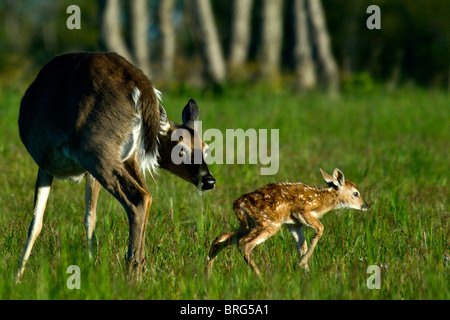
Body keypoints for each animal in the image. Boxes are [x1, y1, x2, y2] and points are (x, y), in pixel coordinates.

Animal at [15, 52, 216, 282]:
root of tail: (141, 87)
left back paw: (131, 275)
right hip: (123, 157)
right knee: (147, 196)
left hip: (96, 151)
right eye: (181, 149)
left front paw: (17, 277)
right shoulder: (85, 171)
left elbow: (36, 222)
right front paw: (91, 267)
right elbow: (89, 218)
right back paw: (139, 268)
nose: (209, 180)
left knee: (138, 198)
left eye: (206, 149)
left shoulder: (45, 163)